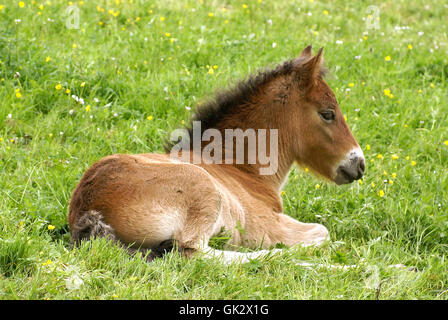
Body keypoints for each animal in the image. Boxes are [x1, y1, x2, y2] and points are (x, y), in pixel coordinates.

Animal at [69, 46, 364, 264]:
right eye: (328, 114)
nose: (358, 164)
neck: (239, 168)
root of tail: (86, 206)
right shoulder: (267, 225)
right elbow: (322, 231)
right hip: (201, 190)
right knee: (196, 253)